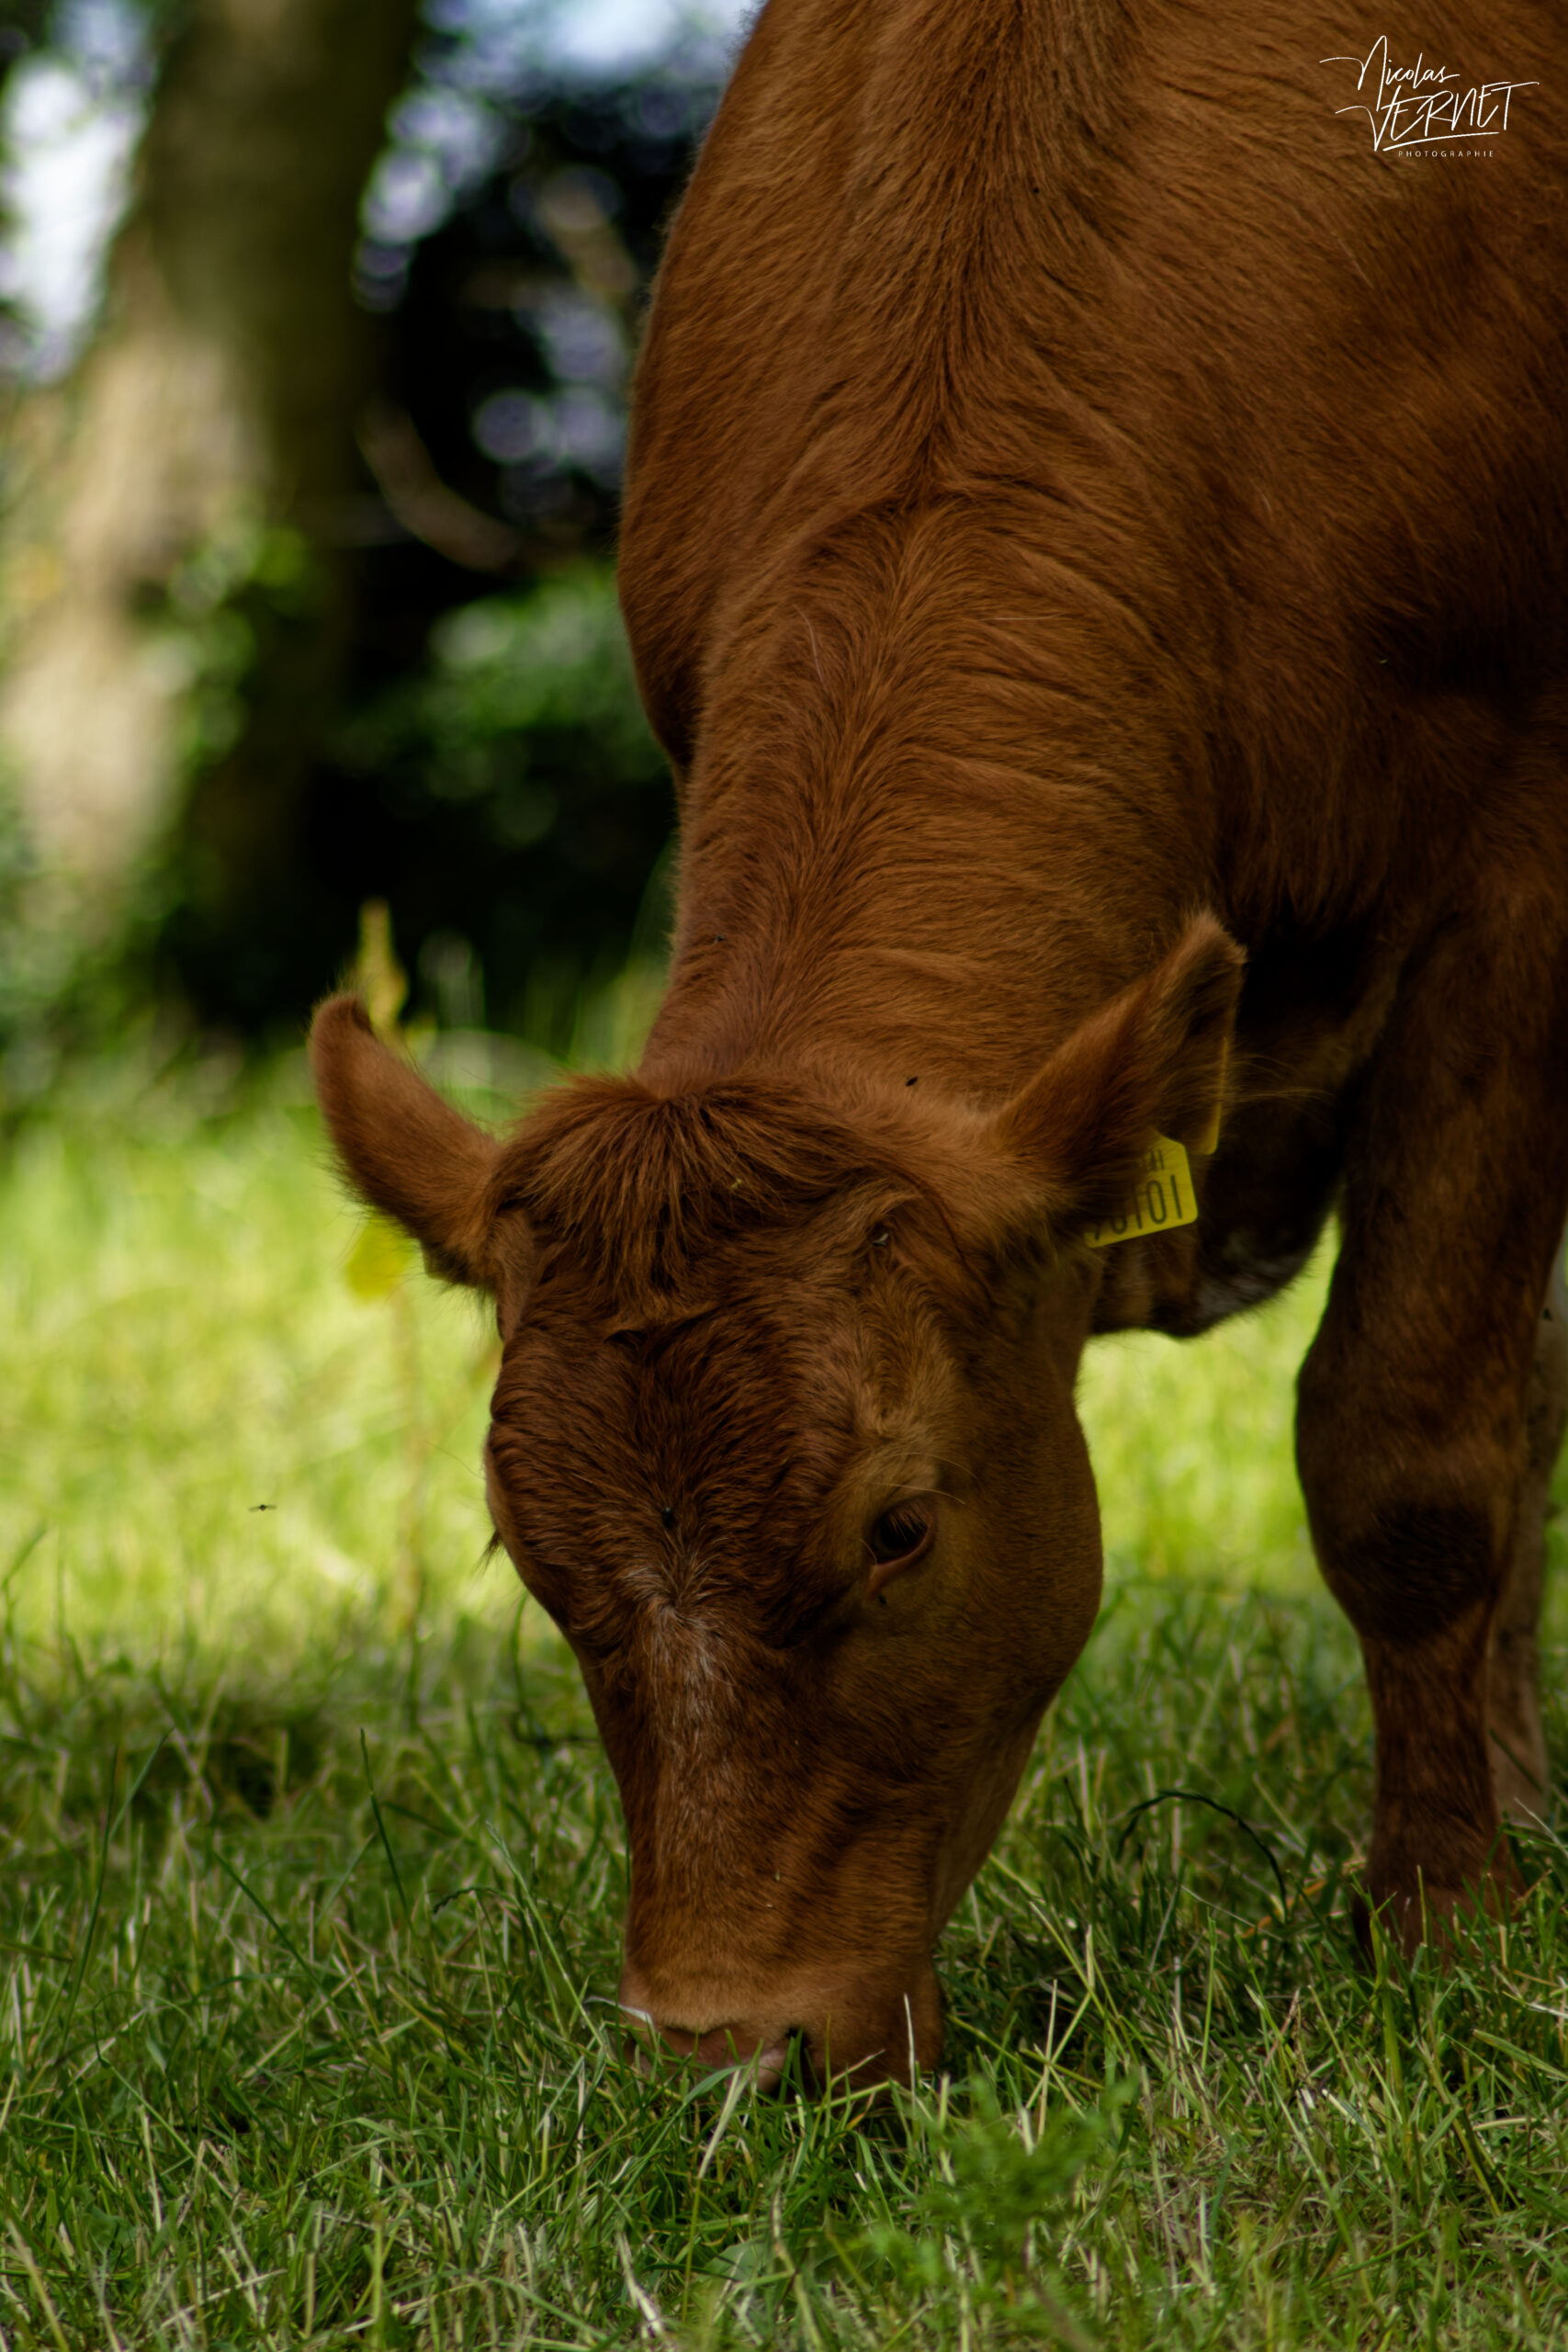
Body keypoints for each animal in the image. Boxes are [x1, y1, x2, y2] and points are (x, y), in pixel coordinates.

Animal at [311, 0, 1568, 2092]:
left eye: (897, 1526)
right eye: (523, 1547)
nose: (725, 2048)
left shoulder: (1508, 869)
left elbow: (1410, 1445)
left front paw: (1443, 1930)